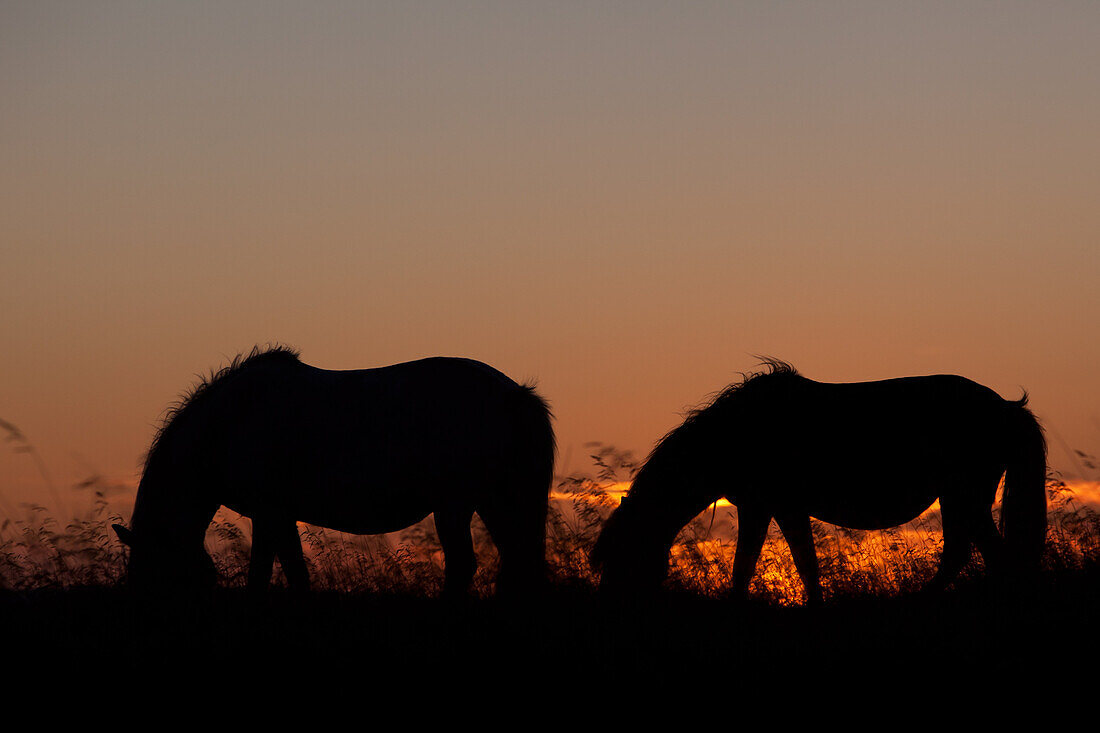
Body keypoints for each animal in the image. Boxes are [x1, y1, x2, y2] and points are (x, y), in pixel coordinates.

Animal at [116, 347, 554, 594]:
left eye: (153, 574)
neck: (229, 423)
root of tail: (516, 395)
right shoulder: (274, 516)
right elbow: (282, 573)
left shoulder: (271, 513)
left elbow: (276, 574)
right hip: (496, 502)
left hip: (456, 505)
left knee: (465, 564)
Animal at [594, 360, 1047, 603]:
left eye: (621, 558)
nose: (607, 602)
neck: (738, 432)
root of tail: (1007, 409)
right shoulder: (765, 508)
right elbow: (770, 566)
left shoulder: (776, 506)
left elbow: (786, 564)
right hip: (957, 499)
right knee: (963, 554)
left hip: (965, 497)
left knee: (984, 556)